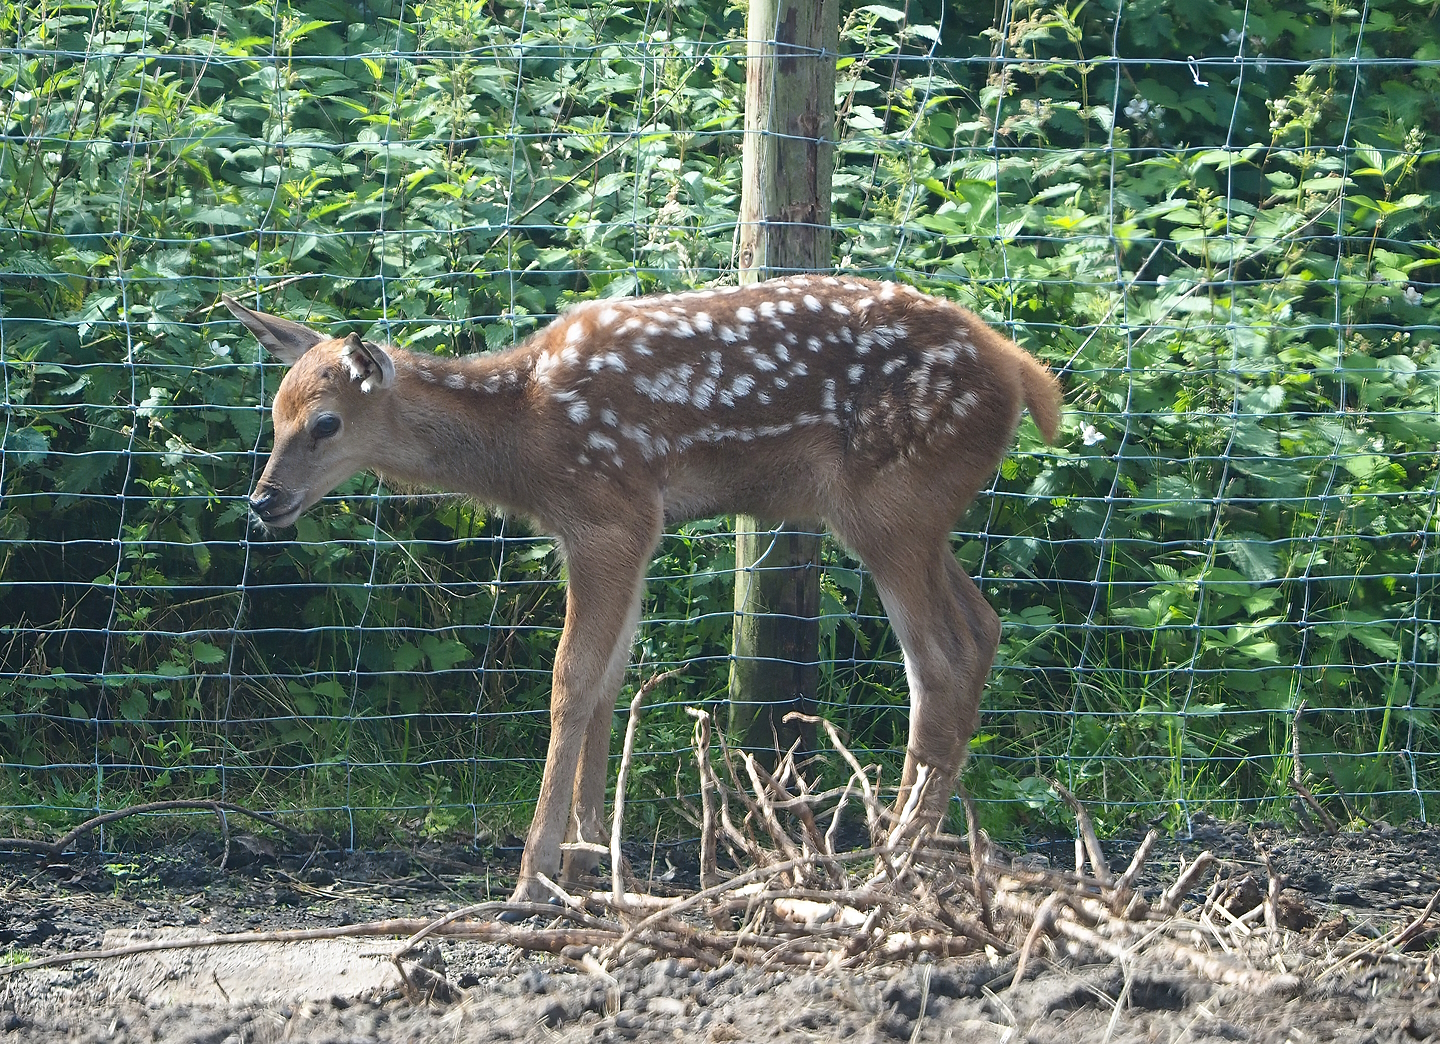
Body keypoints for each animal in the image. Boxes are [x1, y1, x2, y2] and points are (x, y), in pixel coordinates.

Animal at [220, 275, 1062, 904]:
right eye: (275, 414)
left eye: (325, 423)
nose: (263, 501)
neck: (525, 436)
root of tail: (1023, 373)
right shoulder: (619, 533)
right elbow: (608, 681)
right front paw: (588, 862)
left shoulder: (609, 516)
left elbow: (570, 681)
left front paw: (533, 880)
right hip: (917, 514)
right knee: (983, 629)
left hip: (889, 503)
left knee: (940, 660)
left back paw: (893, 863)